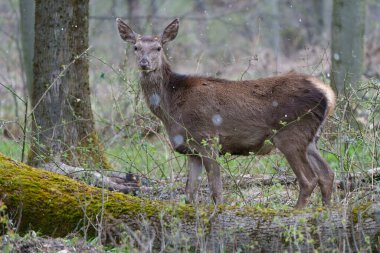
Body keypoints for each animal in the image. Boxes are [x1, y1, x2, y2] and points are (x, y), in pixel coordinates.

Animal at [116, 17, 336, 208]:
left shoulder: (207, 138)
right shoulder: (191, 149)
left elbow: (216, 190)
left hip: (290, 133)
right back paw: (324, 211)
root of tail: (328, 93)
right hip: (311, 138)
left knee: (309, 179)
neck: (171, 107)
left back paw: (297, 212)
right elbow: (189, 193)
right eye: (136, 47)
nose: (144, 63)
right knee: (327, 174)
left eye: (158, 47)